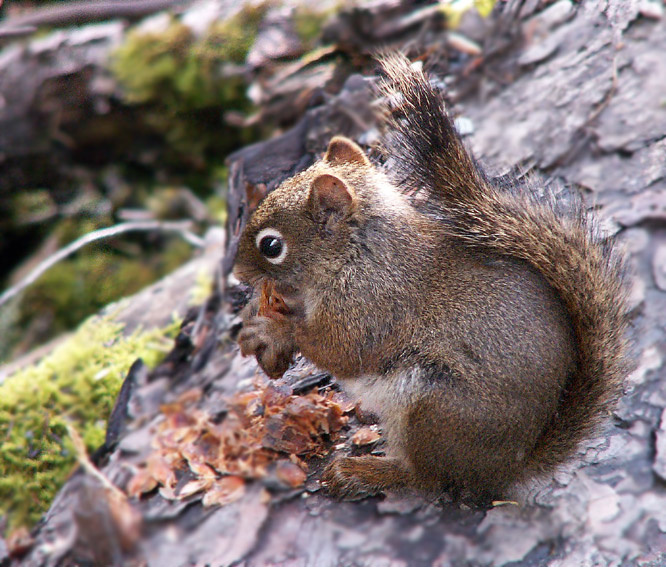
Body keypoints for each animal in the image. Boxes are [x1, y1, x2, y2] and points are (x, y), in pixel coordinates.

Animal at [232, 54, 630, 503]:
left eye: (271, 246)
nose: (236, 273)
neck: (358, 254)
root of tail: (505, 468)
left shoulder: (372, 302)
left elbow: (339, 349)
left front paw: (274, 328)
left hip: (433, 410)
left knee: (427, 479)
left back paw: (365, 472)